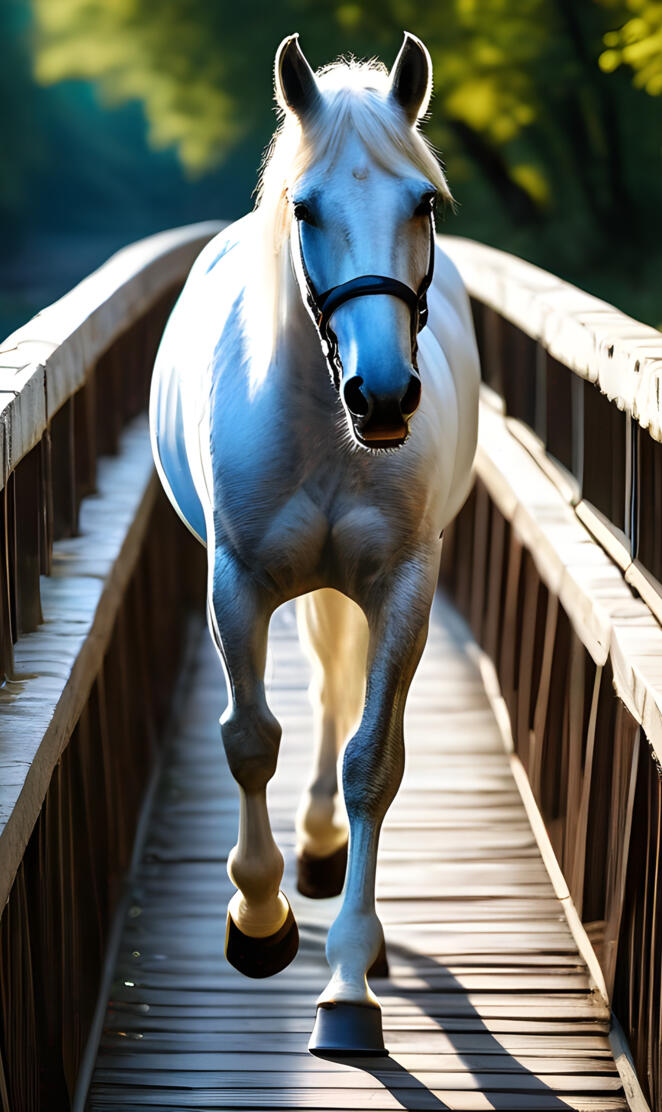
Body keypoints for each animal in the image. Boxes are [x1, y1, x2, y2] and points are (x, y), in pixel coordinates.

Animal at [149, 31, 480, 1057]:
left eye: (423, 204)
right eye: (306, 207)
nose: (384, 395)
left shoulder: (404, 591)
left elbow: (373, 761)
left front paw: (347, 986)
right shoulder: (236, 587)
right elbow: (249, 738)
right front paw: (258, 923)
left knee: (340, 699)